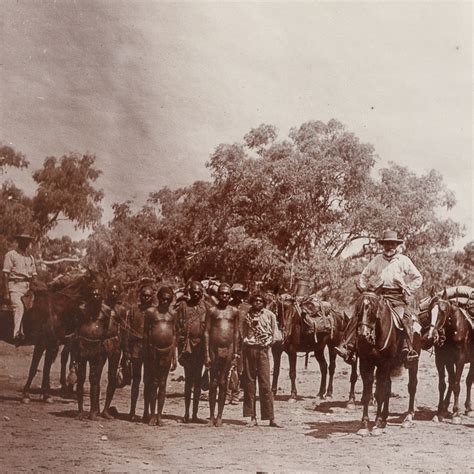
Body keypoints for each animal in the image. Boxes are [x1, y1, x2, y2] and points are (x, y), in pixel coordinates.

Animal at [0, 272, 94, 402]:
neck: (56, 309)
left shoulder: (52, 345)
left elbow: (46, 369)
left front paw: (46, 395)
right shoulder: (42, 344)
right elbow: (34, 369)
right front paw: (26, 394)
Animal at [356, 290, 418, 436]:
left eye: (372, 310)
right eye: (358, 310)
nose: (363, 334)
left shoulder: (383, 364)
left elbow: (379, 393)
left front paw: (377, 423)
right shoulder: (365, 364)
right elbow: (367, 394)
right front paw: (365, 425)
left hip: (413, 362)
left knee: (412, 386)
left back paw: (408, 418)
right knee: (388, 388)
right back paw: (385, 417)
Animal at [426, 292, 474, 422]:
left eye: (442, 311)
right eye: (429, 311)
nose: (431, 336)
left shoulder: (460, 360)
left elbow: (456, 384)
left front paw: (456, 413)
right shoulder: (443, 360)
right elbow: (444, 385)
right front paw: (439, 413)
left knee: (468, 381)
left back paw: (468, 408)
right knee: (452, 382)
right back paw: (446, 407)